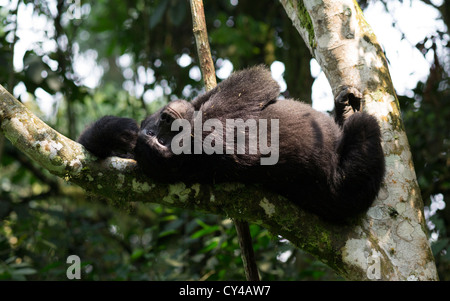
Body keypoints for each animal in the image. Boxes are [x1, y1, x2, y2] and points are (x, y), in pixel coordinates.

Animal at [78, 67, 386, 223]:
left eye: (158, 133)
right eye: (162, 140)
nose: (167, 119)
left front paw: (119, 133)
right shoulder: (210, 136)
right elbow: (253, 84)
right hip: (350, 192)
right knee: (364, 127)